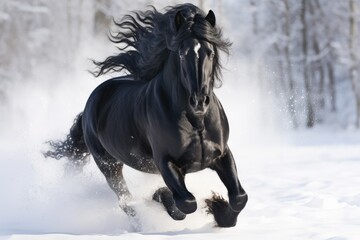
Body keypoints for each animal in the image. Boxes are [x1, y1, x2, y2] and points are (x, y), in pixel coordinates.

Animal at [45, 4, 248, 228]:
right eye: (181, 53)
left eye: (210, 52)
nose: (199, 101)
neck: (196, 122)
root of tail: (92, 100)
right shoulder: (165, 162)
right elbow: (186, 204)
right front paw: (161, 196)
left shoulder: (221, 154)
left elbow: (239, 198)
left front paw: (219, 210)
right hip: (109, 165)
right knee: (125, 200)